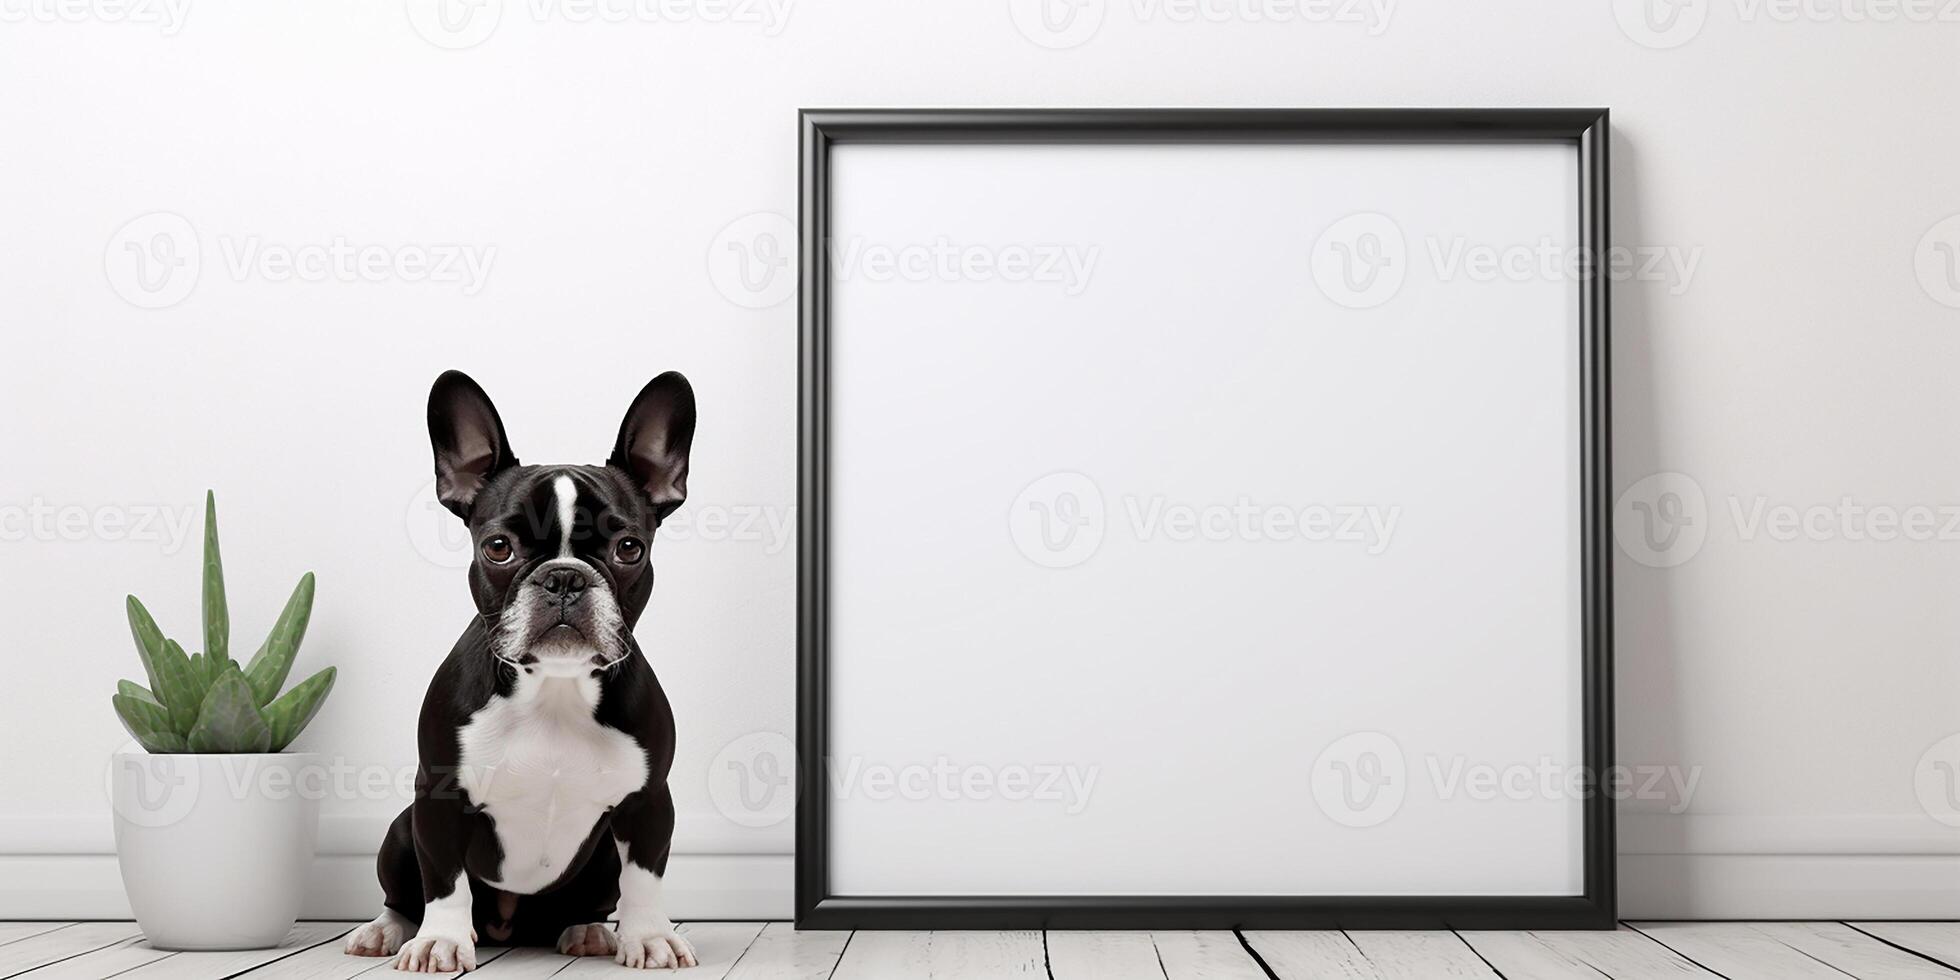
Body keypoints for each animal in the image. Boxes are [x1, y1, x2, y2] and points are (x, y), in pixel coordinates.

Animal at [343, 368, 697, 972]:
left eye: (629, 548)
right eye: (499, 547)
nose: (564, 577)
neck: (554, 687)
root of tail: (509, 926)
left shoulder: (649, 799)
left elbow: (644, 877)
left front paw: (648, 936)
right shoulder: (438, 796)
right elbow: (444, 880)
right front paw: (441, 940)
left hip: (600, 857)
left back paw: (588, 930)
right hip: (399, 830)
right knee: (403, 894)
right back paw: (387, 930)